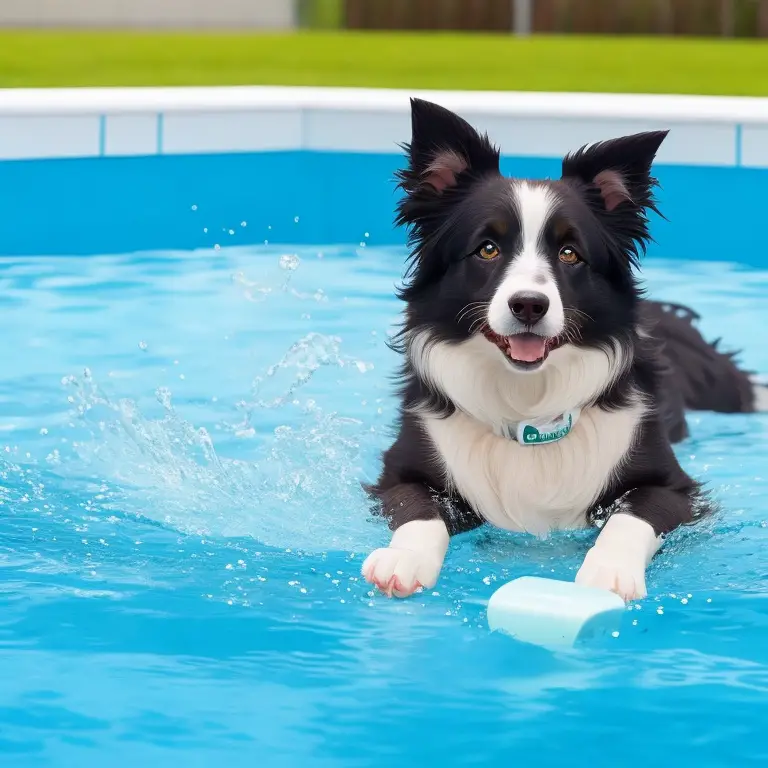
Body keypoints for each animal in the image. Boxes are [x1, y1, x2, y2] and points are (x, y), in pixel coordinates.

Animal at [364, 97, 764, 600]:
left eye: (570, 253)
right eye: (487, 248)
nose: (529, 306)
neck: (528, 408)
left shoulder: (673, 486)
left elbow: (629, 517)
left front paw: (609, 572)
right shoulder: (399, 471)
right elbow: (420, 511)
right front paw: (403, 559)